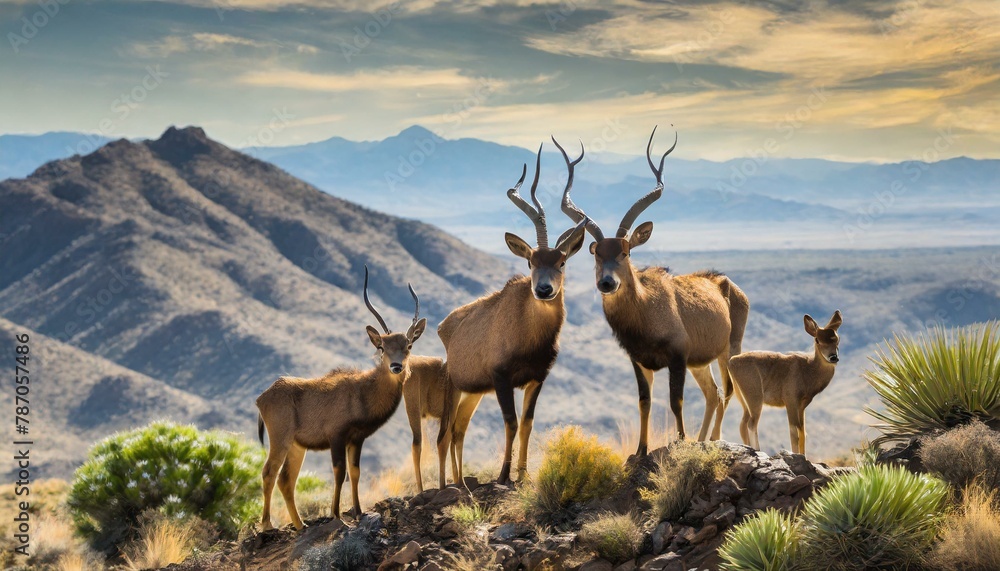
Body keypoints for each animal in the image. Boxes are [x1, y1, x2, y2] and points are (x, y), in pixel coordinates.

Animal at [255, 266, 430, 529]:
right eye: (382, 347)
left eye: (408, 345)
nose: (397, 367)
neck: (362, 392)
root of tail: (262, 398)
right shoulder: (336, 436)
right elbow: (339, 472)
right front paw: (337, 516)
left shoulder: (356, 439)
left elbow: (355, 472)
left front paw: (358, 512)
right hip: (280, 438)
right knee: (270, 472)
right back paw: (267, 525)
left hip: (297, 446)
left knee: (286, 479)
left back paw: (301, 525)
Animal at [438, 143, 589, 485]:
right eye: (531, 261)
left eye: (561, 262)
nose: (544, 290)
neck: (527, 334)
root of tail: (445, 326)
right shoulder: (501, 378)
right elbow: (510, 421)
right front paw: (504, 475)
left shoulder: (536, 379)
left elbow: (527, 423)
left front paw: (523, 474)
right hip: (455, 387)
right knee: (445, 433)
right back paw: (449, 483)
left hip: (473, 392)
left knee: (458, 429)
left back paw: (460, 481)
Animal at [558, 127, 750, 456]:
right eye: (596, 253)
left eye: (625, 252)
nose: (607, 283)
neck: (646, 311)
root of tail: (728, 285)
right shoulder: (639, 361)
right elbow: (644, 402)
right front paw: (640, 451)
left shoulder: (677, 356)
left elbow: (676, 401)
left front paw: (681, 441)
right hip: (701, 362)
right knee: (712, 392)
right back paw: (702, 439)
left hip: (729, 348)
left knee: (726, 390)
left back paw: (712, 439)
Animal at [728, 311, 842, 456]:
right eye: (817, 340)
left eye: (837, 339)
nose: (833, 357)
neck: (808, 372)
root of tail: (731, 362)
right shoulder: (790, 398)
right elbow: (794, 431)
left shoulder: (803, 404)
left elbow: (803, 431)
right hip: (754, 393)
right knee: (751, 423)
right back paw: (758, 450)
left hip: (742, 397)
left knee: (743, 423)